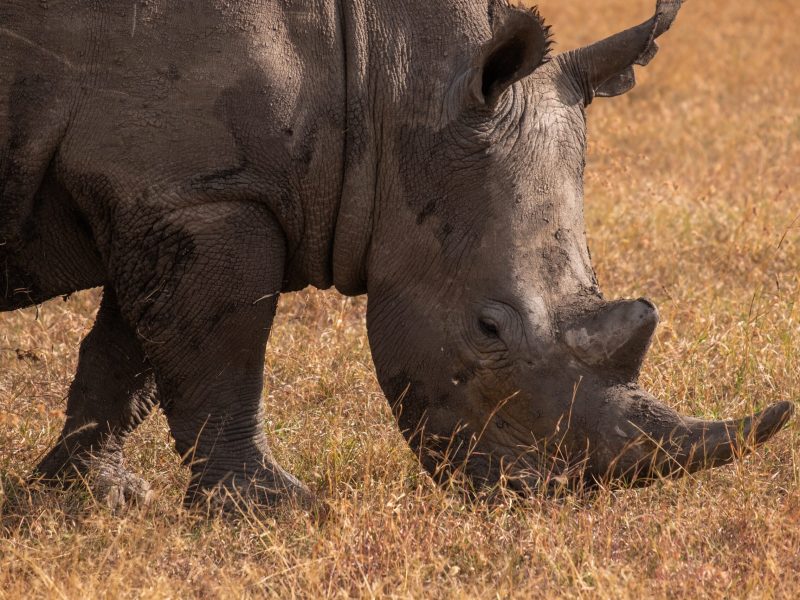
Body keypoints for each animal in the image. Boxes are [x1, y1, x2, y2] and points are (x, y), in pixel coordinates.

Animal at [0, 0, 793, 510]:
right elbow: (223, 350)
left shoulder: (169, 193)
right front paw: (275, 509)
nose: (544, 496)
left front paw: (88, 498)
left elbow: (130, 353)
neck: (382, 79)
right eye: (488, 328)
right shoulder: (207, 194)